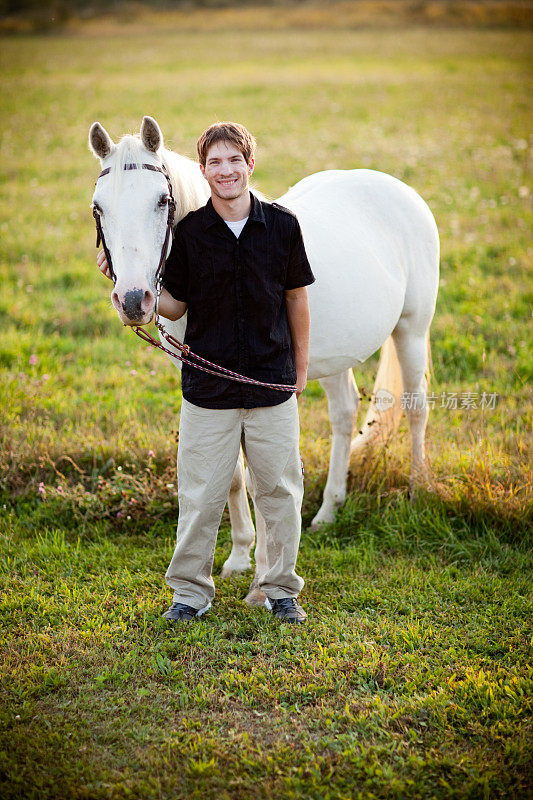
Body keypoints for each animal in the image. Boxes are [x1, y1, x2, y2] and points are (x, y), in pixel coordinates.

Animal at [90, 115, 436, 608]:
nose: (134, 300)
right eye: (99, 209)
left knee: (416, 408)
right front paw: (238, 557)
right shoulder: (208, 387)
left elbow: (264, 482)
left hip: (412, 329)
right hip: (333, 357)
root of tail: (399, 189)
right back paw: (329, 511)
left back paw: (416, 490)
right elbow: (232, 475)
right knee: (345, 413)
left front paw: (264, 576)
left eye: (162, 200)